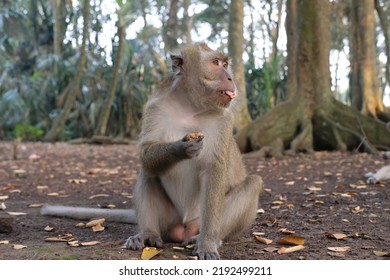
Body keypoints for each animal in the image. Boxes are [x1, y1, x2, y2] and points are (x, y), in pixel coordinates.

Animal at [41, 43, 264, 260]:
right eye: (216, 63)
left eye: (225, 64)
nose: (230, 77)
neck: (190, 107)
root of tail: (185, 225)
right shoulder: (155, 107)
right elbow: (146, 153)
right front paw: (181, 147)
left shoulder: (223, 120)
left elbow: (214, 170)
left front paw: (207, 242)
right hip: (168, 220)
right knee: (148, 173)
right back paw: (148, 234)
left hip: (200, 221)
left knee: (253, 183)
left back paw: (203, 238)